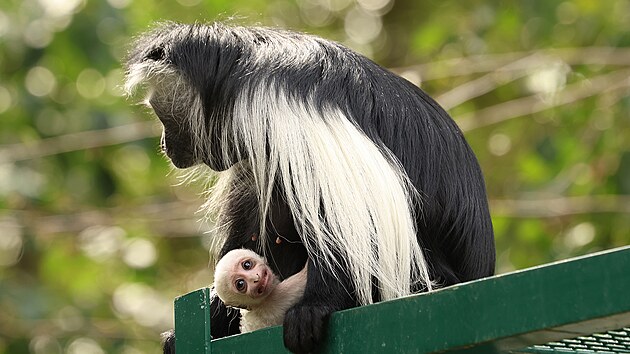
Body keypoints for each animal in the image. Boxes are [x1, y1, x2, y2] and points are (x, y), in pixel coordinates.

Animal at [124, 22, 498, 354]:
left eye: (161, 113)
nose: (165, 145)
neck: (238, 76)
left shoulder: (279, 116)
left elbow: (351, 227)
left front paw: (313, 309)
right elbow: (254, 230)